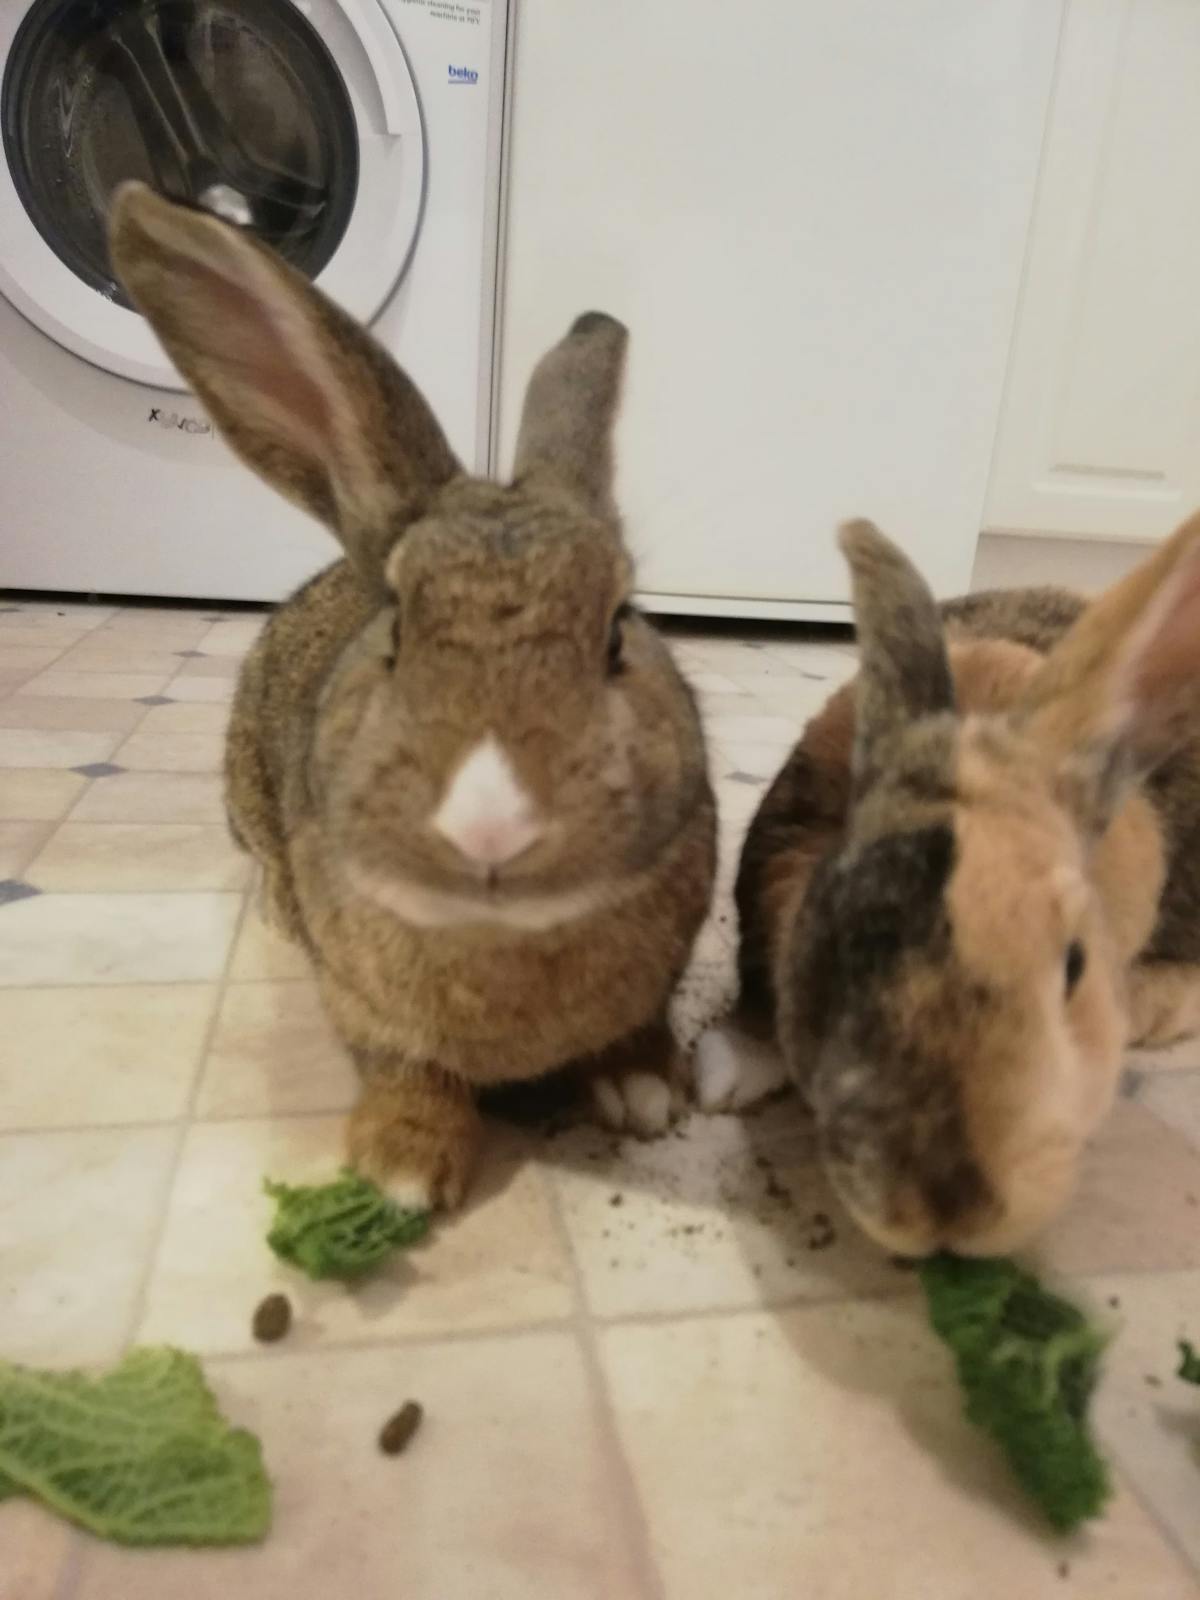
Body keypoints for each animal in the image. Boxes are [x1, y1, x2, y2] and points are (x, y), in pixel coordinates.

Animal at [108, 181, 713, 1203]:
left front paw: (643, 1090)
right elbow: (407, 1070)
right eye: (397, 629)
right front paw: (400, 1166)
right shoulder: (365, 1009)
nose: (491, 826)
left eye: (618, 630)